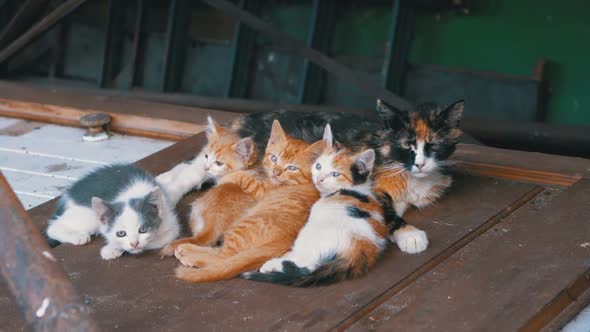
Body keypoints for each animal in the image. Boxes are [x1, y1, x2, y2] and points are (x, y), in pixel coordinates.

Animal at [46, 165, 179, 260]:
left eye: (143, 229)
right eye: (121, 233)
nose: (134, 243)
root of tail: (68, 196)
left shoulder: (170, 223)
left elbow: (159, 240)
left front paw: (112, 249)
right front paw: (113, 248)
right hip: (88, 215)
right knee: (52, 228)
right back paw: (78, 236)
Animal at [171, 120, 328, 282]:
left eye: (219, 163)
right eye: (274, 158)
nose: (206, 168)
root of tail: (284, 240)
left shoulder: (260, 188)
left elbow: (242, 178)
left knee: (224, 256)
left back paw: (187, 252)